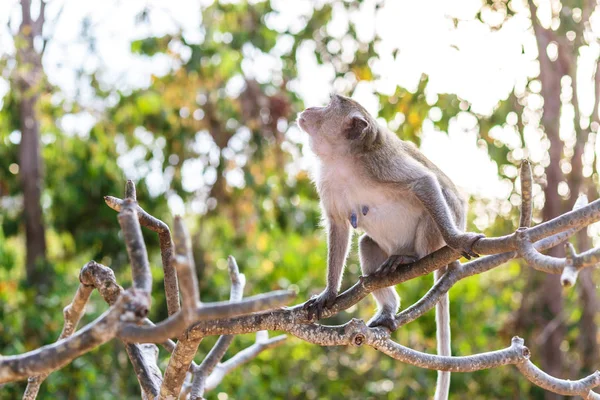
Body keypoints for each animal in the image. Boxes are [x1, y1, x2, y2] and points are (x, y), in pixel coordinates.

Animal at [298, 93, 486, 396]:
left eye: (328, 104)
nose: (309, 107)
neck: (345, 159)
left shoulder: (380, 162)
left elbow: (424, 183)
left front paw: (458, 239)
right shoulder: (328, 181)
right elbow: (338, 227)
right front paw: (329, 293)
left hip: (437, 234)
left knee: (439, 198)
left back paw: (413, 258)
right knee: (367, 245)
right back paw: (388, 308)